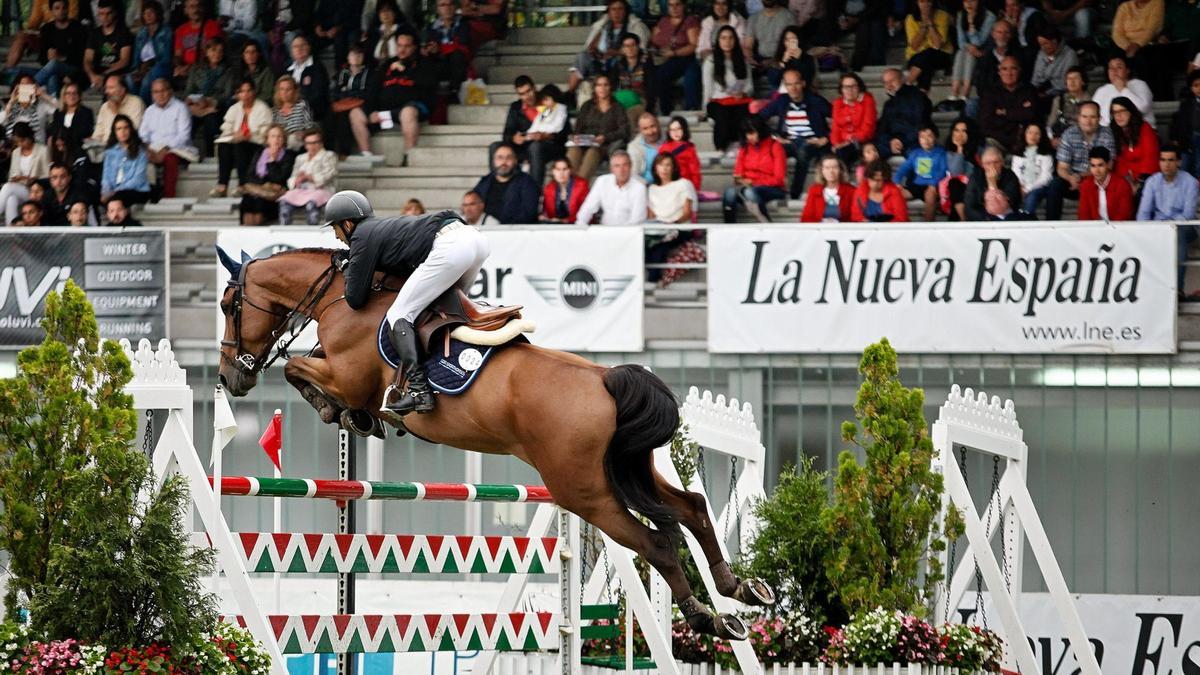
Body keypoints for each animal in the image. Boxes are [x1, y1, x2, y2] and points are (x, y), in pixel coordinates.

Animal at [216, 247, 777, 638]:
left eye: (228, 303)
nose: (230, 377)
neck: (342, 298)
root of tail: (606, 380)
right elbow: (302, 366)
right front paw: (348, 415)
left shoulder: (350, 377)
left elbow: (297, 369)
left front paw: (340, 410)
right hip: (626, 471)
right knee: (693, 507)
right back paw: (740, 590)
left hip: (583, 490)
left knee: (657, 541)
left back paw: (708, 619)